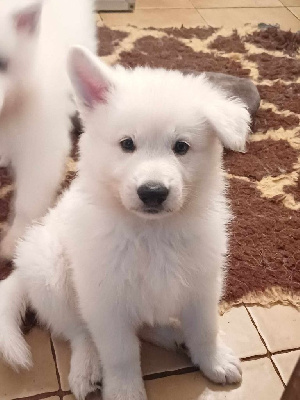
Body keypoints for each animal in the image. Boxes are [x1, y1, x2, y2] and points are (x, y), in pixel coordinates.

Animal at [0, 47, 251, 400]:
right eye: (127, 144)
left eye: (181, 147)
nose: (153, 192)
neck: (151, 232)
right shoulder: (106, 303)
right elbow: (121, 354)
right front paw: (125, 391)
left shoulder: (201, 285)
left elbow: (205, 329)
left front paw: (213, 361)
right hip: (51, 275)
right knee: (79, 331)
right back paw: (86, 368)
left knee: (145, 325)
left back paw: (172, 335)